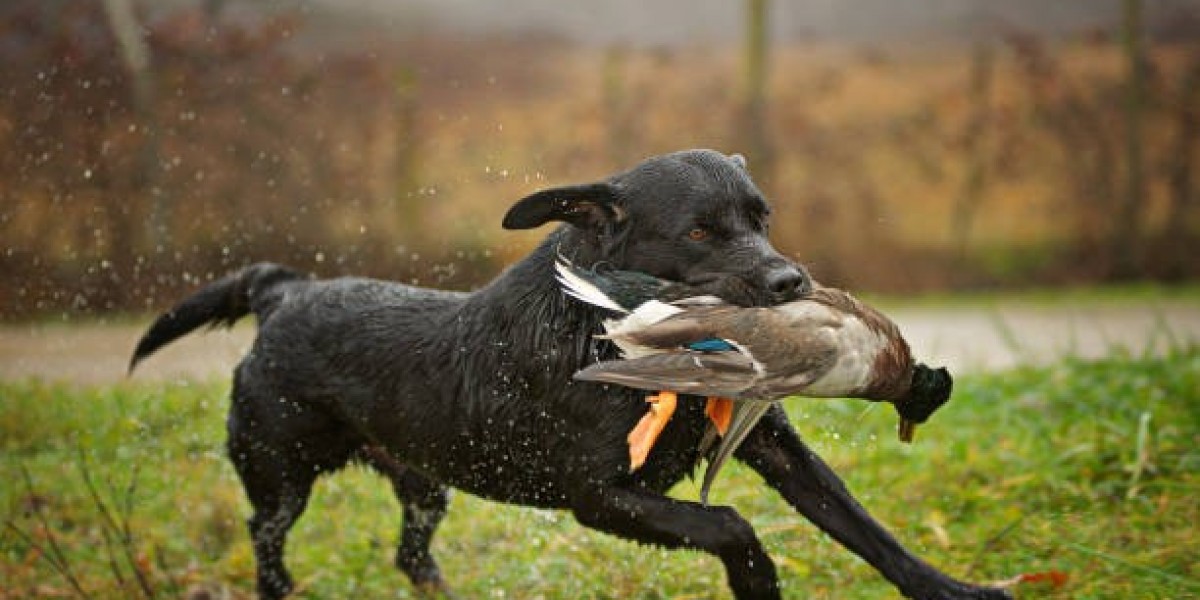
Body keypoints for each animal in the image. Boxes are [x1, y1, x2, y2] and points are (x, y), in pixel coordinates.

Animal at [131, 151, 1008, 600]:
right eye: (699, 230)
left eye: (763, 217)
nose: (793, 284)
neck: (604, 327)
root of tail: (287, 290)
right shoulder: (599, 496)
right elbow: (731, 525)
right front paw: (758, 581)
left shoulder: (777, 450)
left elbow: (866, 529)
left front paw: (956, 592)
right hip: (279, 470)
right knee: (266, 536)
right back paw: (280, 589)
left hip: (425, 480)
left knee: (412, 554)